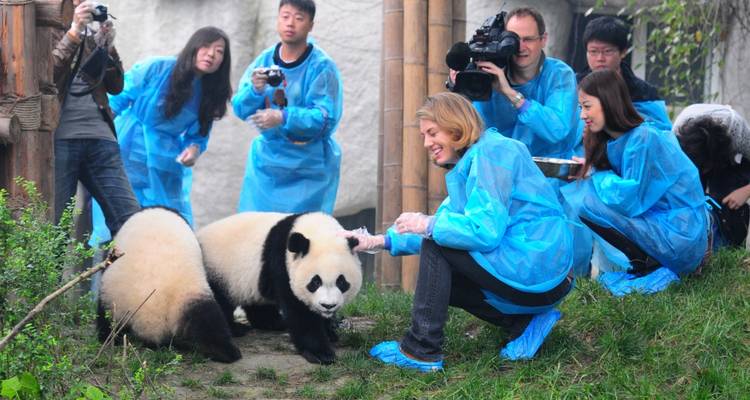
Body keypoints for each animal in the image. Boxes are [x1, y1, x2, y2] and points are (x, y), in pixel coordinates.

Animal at [196, 211, 362, 365]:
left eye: (341, 282)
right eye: (315, 282)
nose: (328, 306)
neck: (318, 230)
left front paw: (330, 332)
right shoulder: (281, 264)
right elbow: (299, 311)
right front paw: (321, 353)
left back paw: (275, 322)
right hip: (216, 270)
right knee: (219, 303)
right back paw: (235, 329)